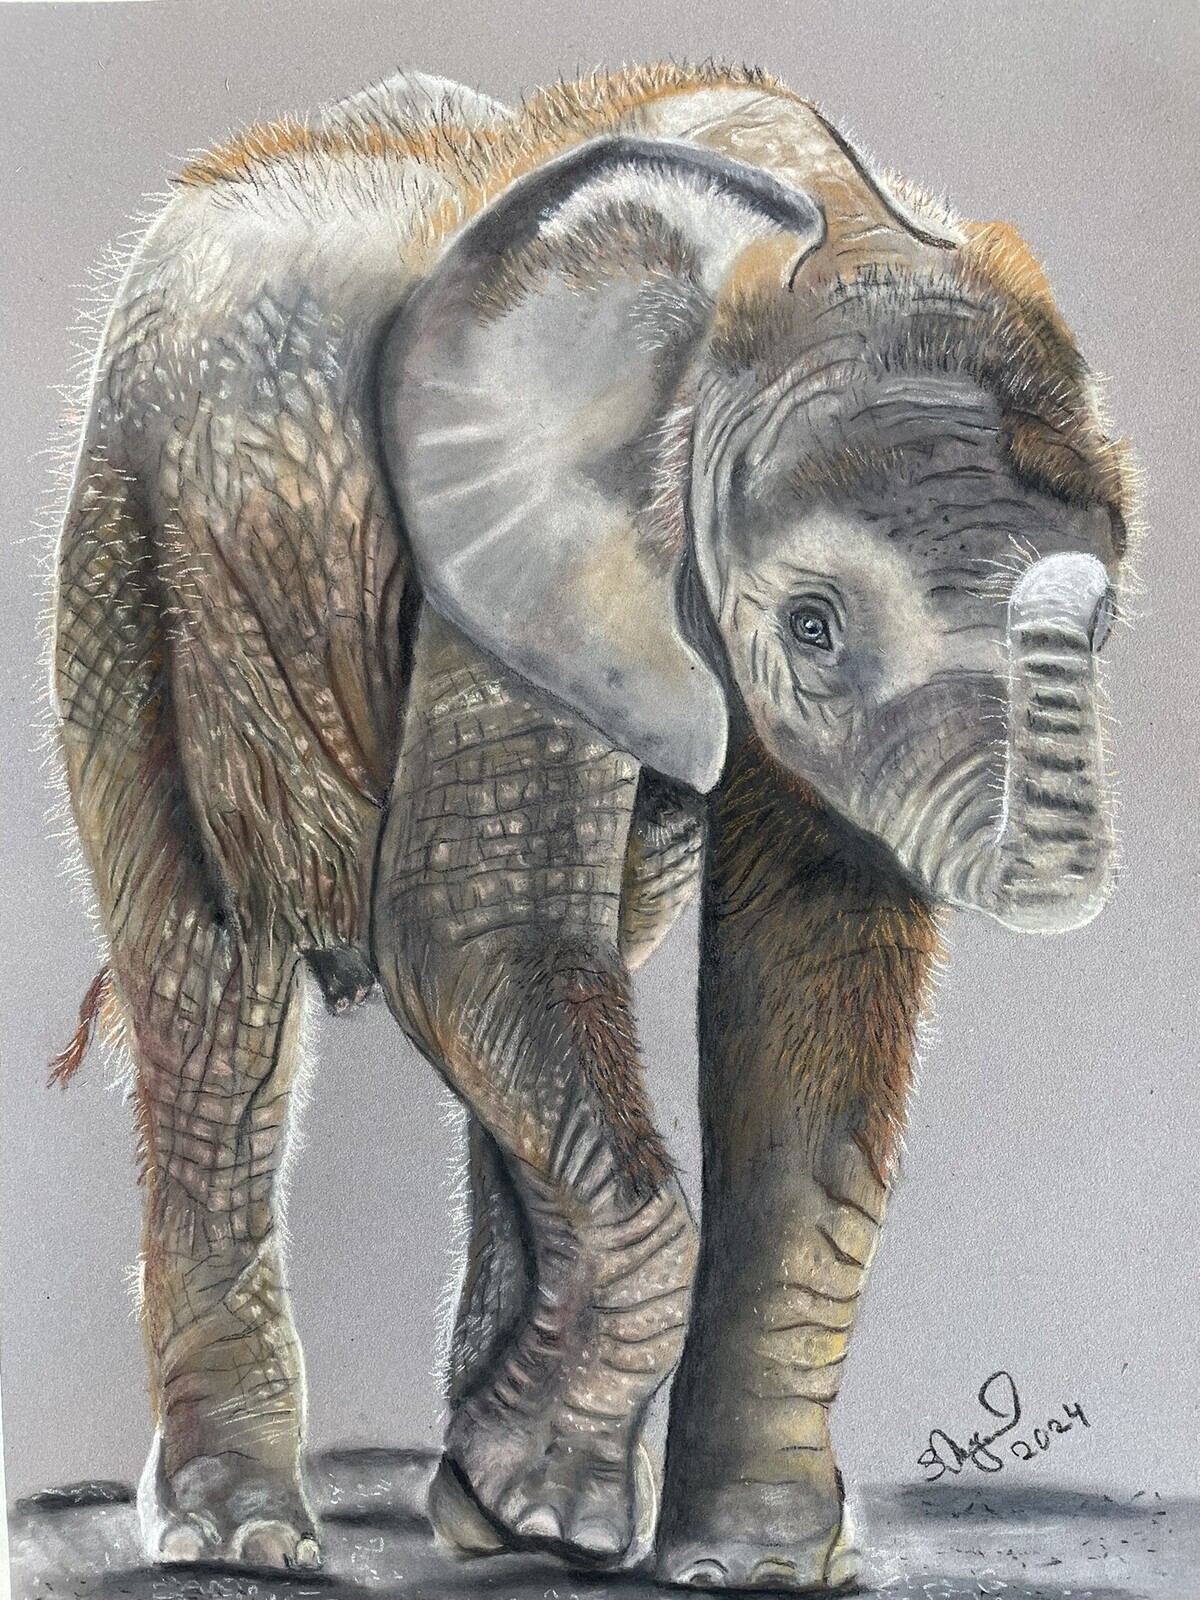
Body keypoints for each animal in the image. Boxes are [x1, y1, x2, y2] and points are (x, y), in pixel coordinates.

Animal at [50, 60, 1132, 1591]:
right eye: (811, 624)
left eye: (1110, 617)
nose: (1072, 595)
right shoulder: (503, 564)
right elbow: (471, 931)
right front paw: (554, 1514)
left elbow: (811, 1001)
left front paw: (732, 1562)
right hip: (131, 565)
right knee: (214, 991)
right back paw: (246, 1538)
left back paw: (473, 1508)